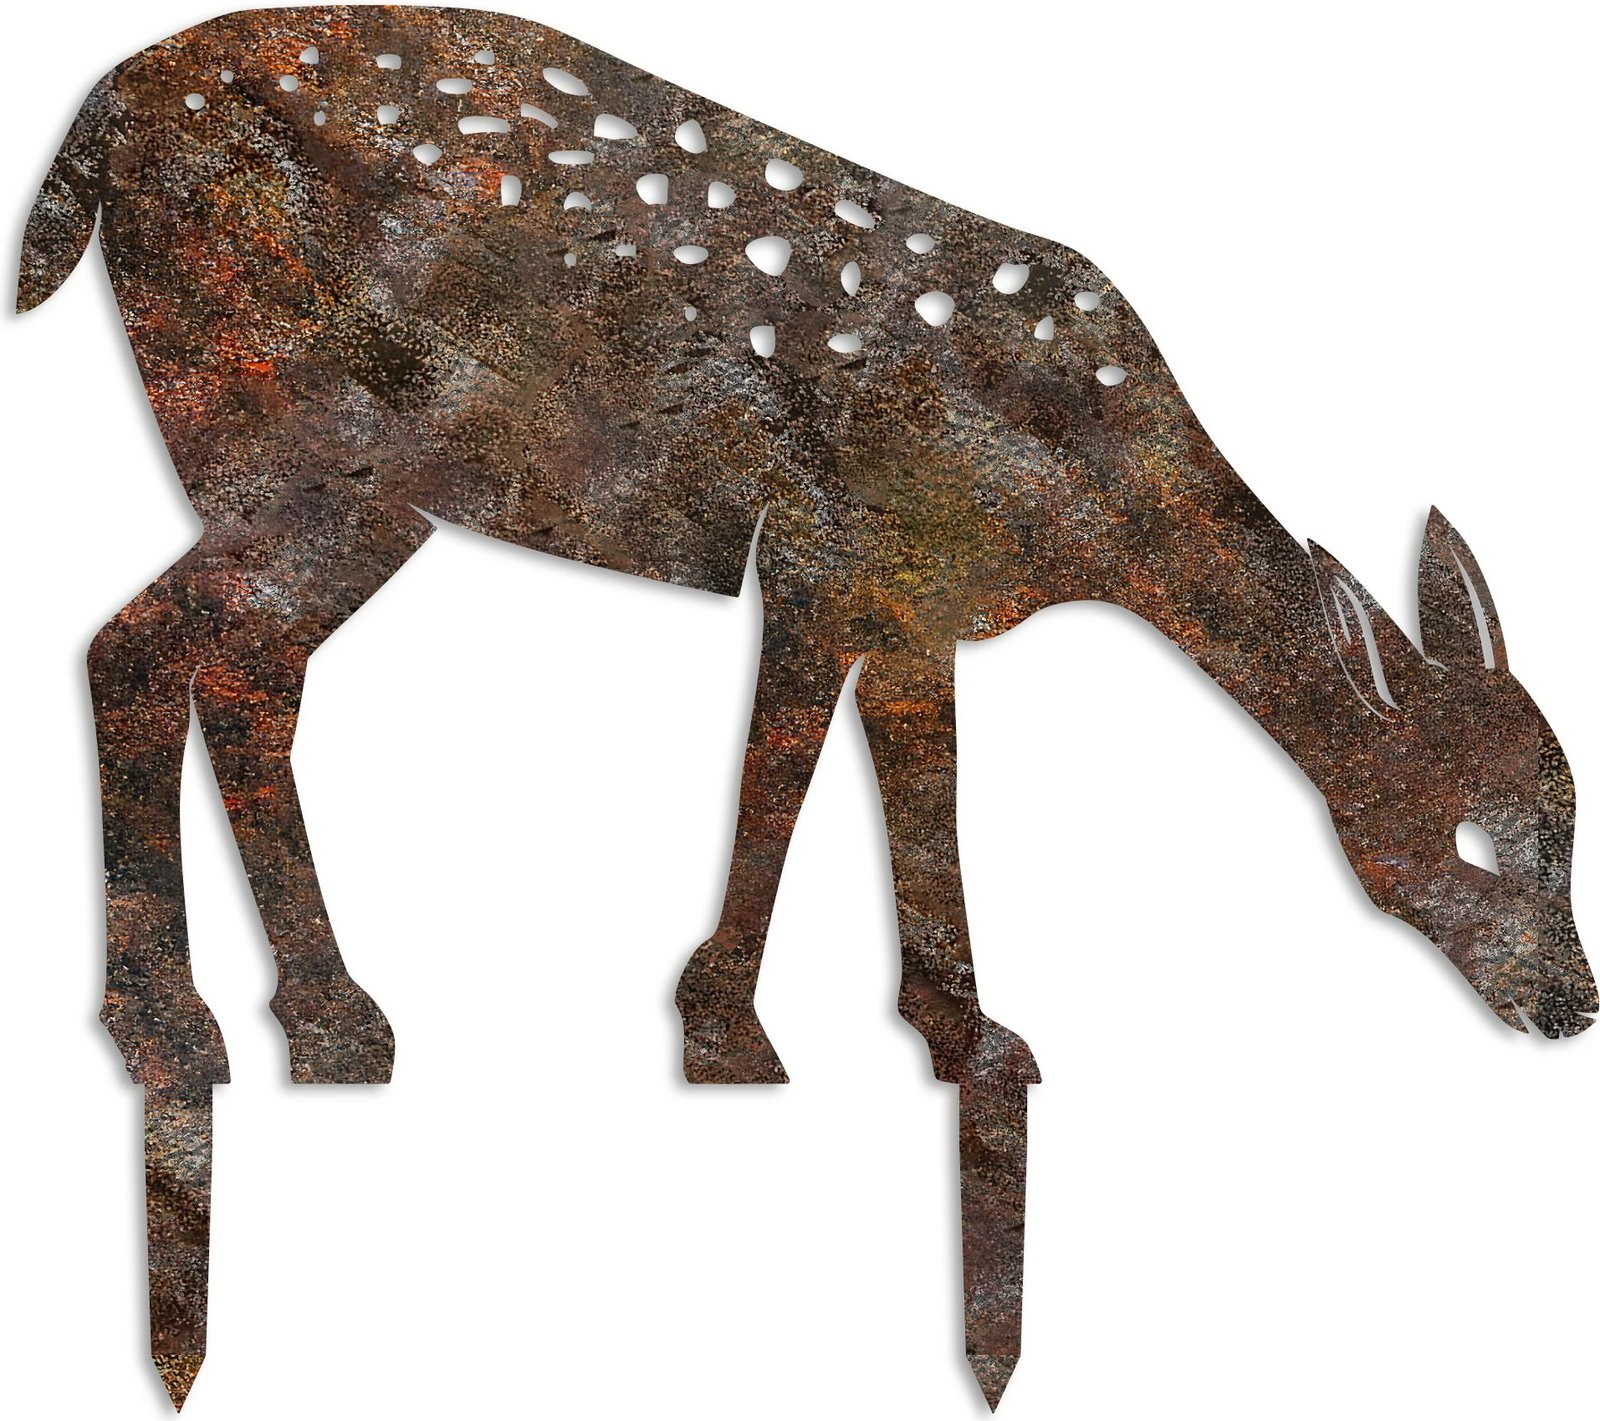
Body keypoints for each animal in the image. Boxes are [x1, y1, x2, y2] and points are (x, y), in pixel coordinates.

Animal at [19, 6, 1594, 1412]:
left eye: (1569, 827)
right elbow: (789, 763)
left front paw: (956, 1031)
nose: (1574, 1002)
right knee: (137, 648)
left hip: (340, 481)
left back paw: (330, 1023)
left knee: (235, 673)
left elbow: (906, 779)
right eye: (1470, 833)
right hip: (303, 438)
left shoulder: (918, 599)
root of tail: (91, 136)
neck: (1090, 496)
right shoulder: (831, 549)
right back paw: (180, 1031)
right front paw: (731, 1032)